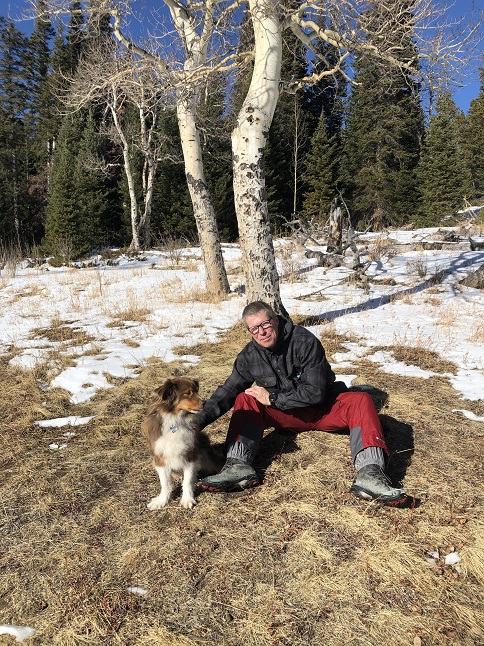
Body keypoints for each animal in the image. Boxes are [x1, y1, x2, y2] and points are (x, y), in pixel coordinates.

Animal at [142, 377, 222, 509]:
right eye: (188, 393)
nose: (205, 402)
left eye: (196, 391)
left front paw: (187, 499)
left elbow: (188, 480)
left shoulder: (191, 455)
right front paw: (161, 500)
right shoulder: (160, 458)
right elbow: (165, 483)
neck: (175, 421)